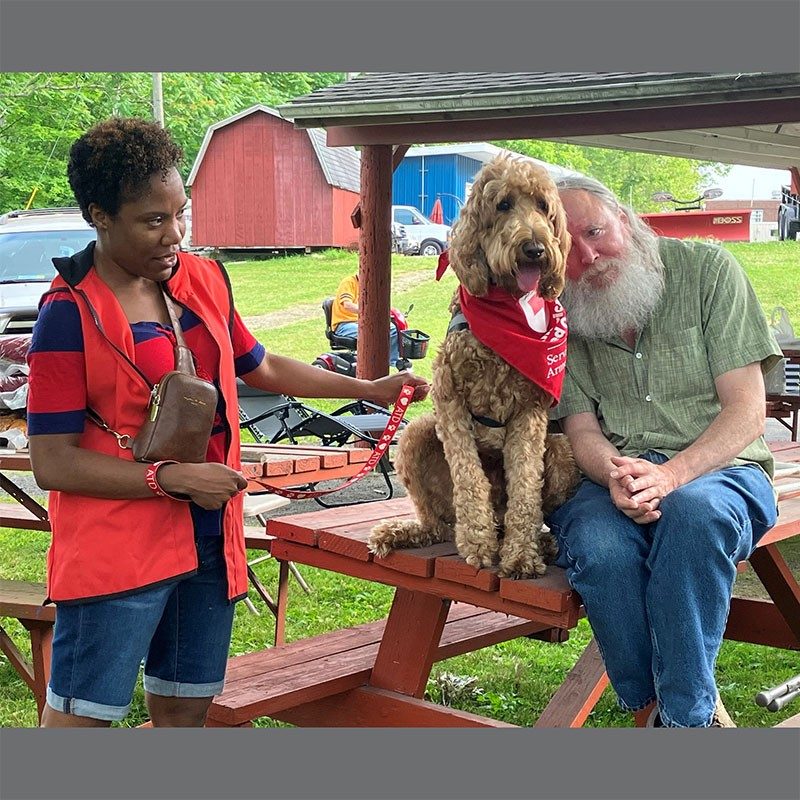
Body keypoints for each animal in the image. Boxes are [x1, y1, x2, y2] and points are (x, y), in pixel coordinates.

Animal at [368, 156, 580, 580]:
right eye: (503, 205)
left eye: (543, 206)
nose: (535, 249)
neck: (507, 310)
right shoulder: (450, 404)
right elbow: (469, 478)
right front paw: (479, 545)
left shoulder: (530, 413)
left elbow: (525, 485)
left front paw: (520, 554)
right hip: (415, 433)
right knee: (437, 523)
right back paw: (407, 532)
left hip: (561, 447)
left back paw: (542, 542)